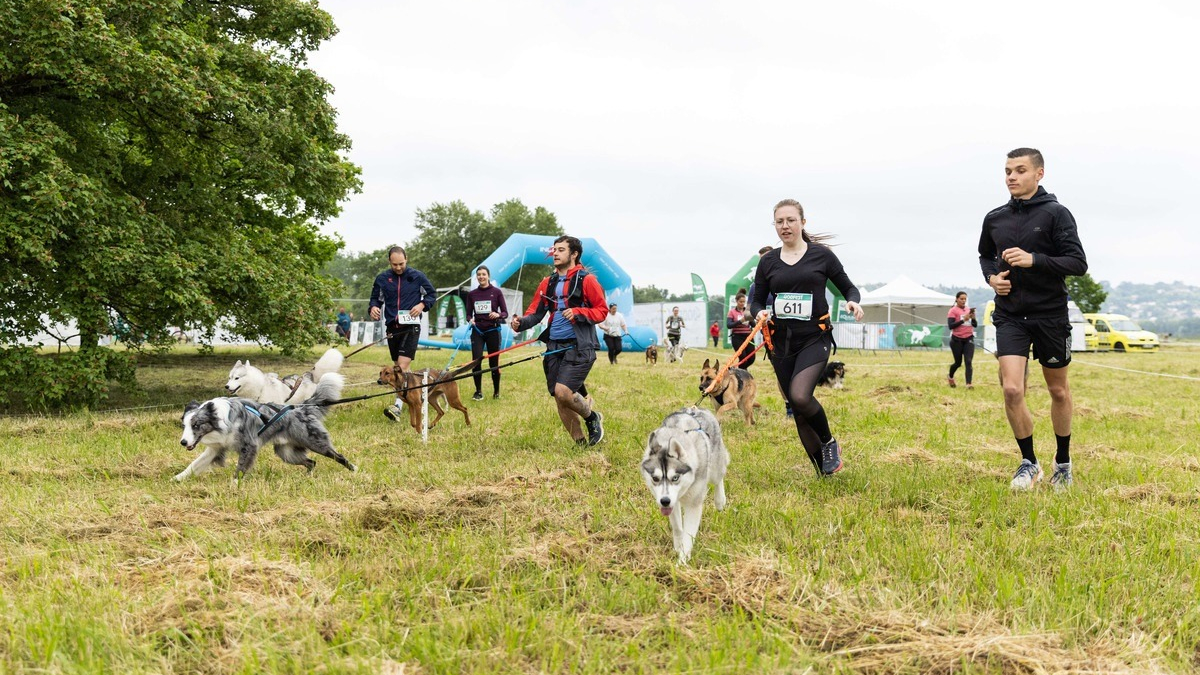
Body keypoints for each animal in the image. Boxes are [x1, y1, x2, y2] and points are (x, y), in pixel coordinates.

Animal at [638, 403, 729, 562]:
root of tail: (698, 409)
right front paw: (677, 547)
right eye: (655, 478)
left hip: (715, 467)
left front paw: (682, 561)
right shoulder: (672, 502)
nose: (664, 501)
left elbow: (688, 535)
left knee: (718, 478)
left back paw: (720, 501)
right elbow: (678, 528)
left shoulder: (694, 505)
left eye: (675, 478)